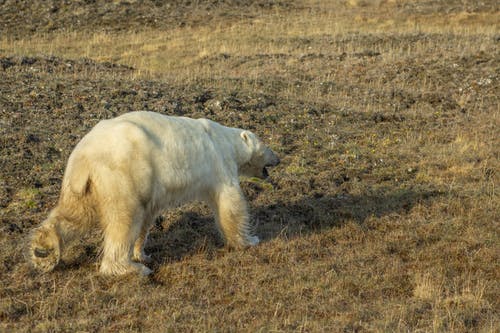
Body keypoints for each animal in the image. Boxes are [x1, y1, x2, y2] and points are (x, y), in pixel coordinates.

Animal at [29, 111, 280, 274]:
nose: (278, 158)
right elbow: (231, 203)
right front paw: (250, 240)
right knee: (124, 218)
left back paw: (42, 248)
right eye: (266, 145)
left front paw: (142, 252)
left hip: (84, 185)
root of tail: (83, 156)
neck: (225, 140)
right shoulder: (220, 163)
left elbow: (148, 216)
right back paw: (131, 269)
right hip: (122, 174)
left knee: (75, 214)